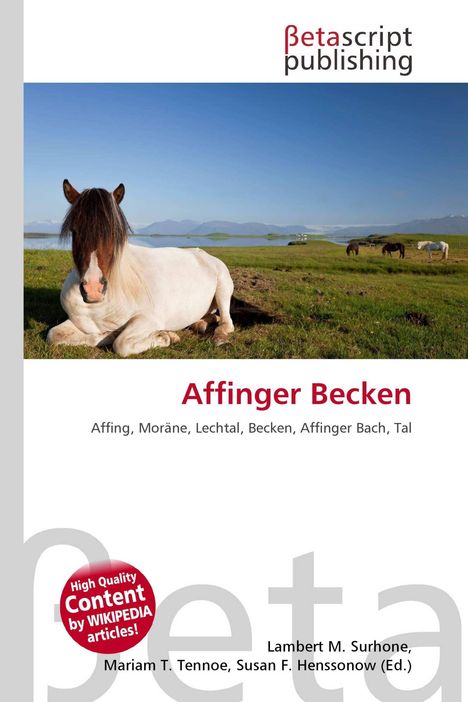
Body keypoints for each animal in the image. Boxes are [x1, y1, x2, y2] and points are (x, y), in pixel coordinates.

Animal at [46, 180, 235, 356]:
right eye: (74, 230)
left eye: (113, 232)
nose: (93, 289)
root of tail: (202, 253)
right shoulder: (79, 322)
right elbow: (54, 335)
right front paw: (110, 334)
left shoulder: (148, 319)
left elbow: (121, 344)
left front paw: (165, 337)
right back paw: (199, 323)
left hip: (223, 288)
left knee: (226, 322)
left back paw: (218, 336)